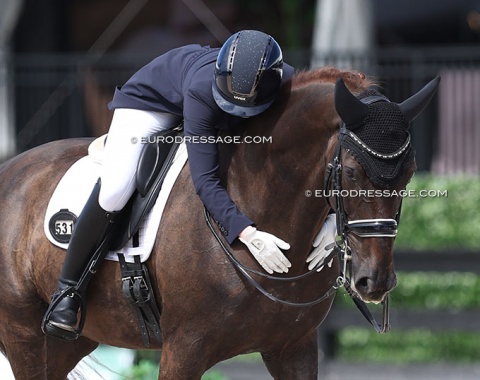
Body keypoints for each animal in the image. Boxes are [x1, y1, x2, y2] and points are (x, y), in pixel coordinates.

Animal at [0, 67, 438, 378]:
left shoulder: (293, 349)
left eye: (409, 174)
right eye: (350, 172)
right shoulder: (183, 351)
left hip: (70, 343)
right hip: (25, 335)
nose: (374, 282)